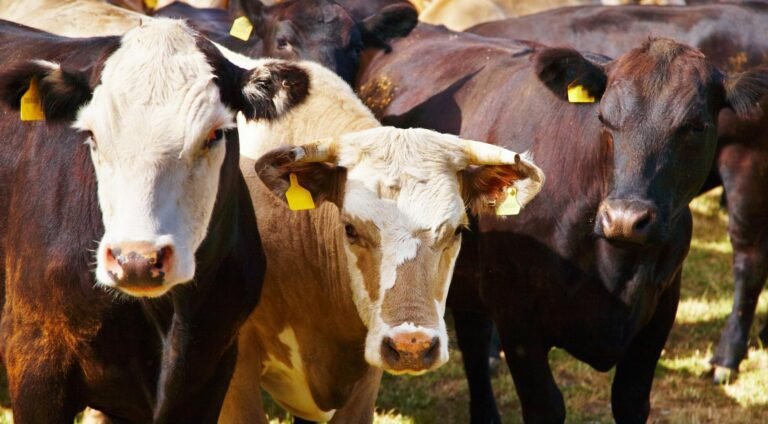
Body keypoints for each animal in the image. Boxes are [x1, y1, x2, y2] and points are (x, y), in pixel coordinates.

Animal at [468, 0, 768, 384]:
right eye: (603, 118)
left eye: (696, 126)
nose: (625, 219)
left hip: (747, 164)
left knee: (749, 259)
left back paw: (727, 356)